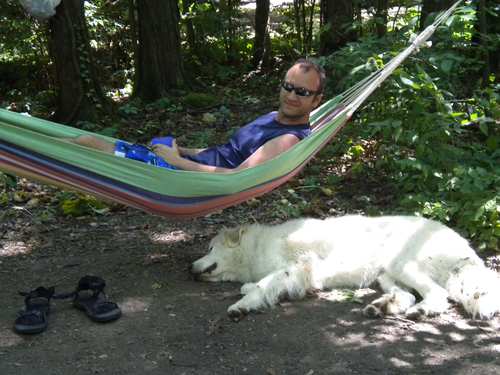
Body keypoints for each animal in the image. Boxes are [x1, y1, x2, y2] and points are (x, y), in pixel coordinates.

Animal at [189, 216, 498, 322]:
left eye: (209, 248)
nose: (190, 268)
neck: (256, 249)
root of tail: (466, 248)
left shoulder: (302, 264)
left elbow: (266, 284)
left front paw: (242, 305)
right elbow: (264, 283)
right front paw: (248, 289)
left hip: (401, 262)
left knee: (437, 295)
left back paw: (421, 312)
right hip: (387, 275)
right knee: (409, 295)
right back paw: (382, 307)